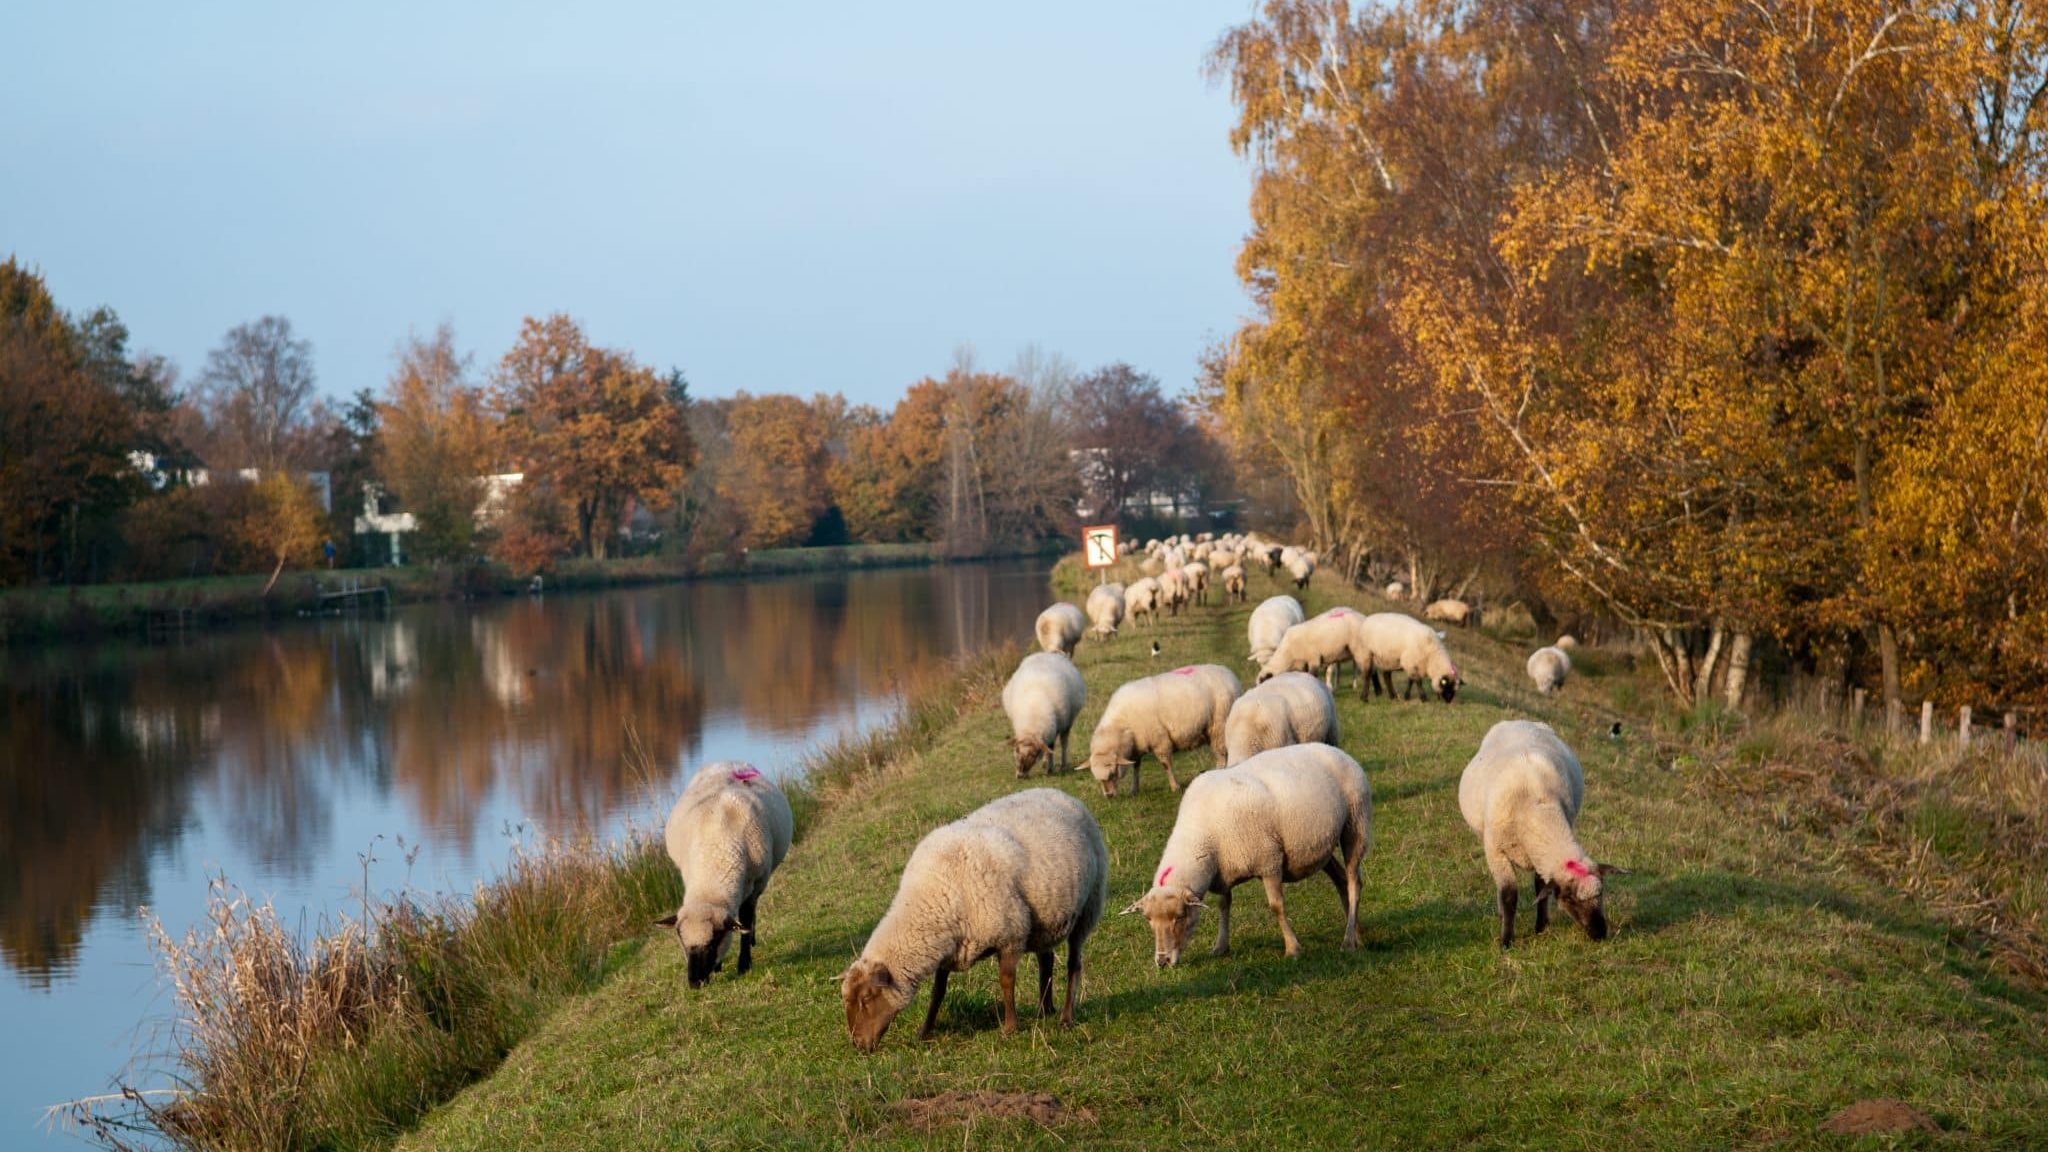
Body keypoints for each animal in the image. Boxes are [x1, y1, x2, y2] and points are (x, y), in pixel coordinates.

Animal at [843, 783, 1114, 1045]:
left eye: (866, 999)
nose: (859, 1044)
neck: (933, 895)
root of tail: (1063, 794)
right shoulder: (950, 949)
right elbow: (938, 992)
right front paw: (925, 1031)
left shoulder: (1010, 934)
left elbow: (1006, 981)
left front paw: (1010, 1027)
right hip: (1045, 920)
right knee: (1046, 961)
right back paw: (1043, 1011)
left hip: (1087, 908)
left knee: (1074, 964)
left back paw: (1066, 1018)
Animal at [1089, 660, 1245, 795]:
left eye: (1112, 773)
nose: (1109, 795)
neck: (1121, 725)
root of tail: (1231, 676)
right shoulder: (1137, 745)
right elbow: (1136, 767)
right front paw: (1134, 789)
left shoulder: (1159, 739)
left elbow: (1166, 764)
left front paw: (1174, 787)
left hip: (1220, 724)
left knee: (1222, 755)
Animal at [1130, 733, 1368, 959]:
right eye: (1148, 919)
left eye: (1179, 916)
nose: (1162, 961)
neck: (1204, 834)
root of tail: (1337, 751)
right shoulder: (1223, 871)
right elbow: (1224, 905)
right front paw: (1220, 946)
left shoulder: (1269, 862)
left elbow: (1276, 906)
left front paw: (1292, 948)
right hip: (1320, 846)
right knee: (1341, 879)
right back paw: (1357, 933)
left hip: (1356, 825)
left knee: (1354, 883)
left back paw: (1348, 941)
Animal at [1466, 717, 1622, 951]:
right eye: (1569, 899)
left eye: (1601, 892)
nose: (1599, 933)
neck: (1535, 804)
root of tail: (1518, 720)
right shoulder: (1496, 852)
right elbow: (1509, 896)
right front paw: (1506, 941)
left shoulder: (1539, 856)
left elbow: (1540, 888)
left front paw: (1540, 927)